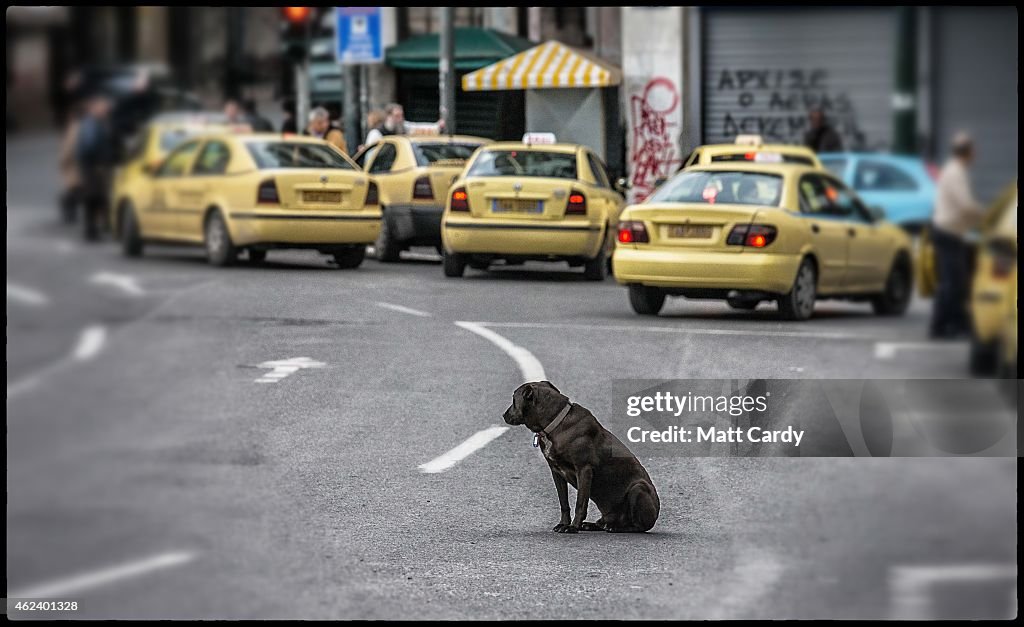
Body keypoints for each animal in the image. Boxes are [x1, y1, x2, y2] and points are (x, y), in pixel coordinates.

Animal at [505, 379, 663, 532]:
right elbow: (564, 503)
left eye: (513, 399)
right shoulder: (556, 472)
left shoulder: (584, 469)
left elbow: (580, 503)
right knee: (604, 523)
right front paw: (563, 524)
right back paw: (593, 525)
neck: (556, 423)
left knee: (639, 527)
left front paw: (572, 527)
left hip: (638, 488)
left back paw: (615, 528)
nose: (503, 415)